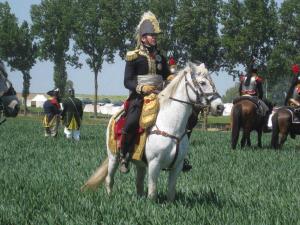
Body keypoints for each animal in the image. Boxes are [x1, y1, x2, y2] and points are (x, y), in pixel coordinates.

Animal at [81, 62, 223, 201]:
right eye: (203, 83)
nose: (220, 107)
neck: (171, 126)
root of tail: (115, 116)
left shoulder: (177, 167)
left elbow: (171, 193)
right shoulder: (154, 164)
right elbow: (153, 192)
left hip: (140, 164)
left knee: (138, 183)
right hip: (113, 157)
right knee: (109, 179)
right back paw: (110, 196)